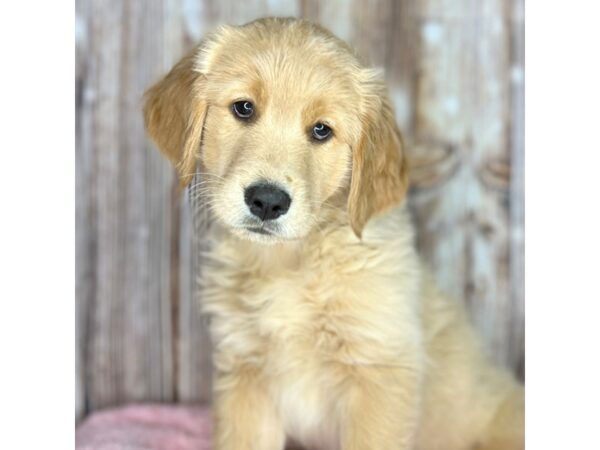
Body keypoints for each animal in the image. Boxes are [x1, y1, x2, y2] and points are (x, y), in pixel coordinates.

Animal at [143, 16, 524, 450]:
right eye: (244, 108)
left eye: (322, 131)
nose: (267, 201)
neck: (293, 260)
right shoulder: (245, 373)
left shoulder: (379, 372)